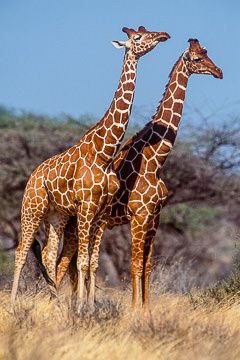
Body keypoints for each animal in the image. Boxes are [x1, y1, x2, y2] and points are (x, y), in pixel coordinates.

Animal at [10, 26, 170, 310]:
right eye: (138, 37)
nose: (163, 35)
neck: (104, 152)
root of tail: (32, 176)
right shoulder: (86, 206)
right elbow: (83, 262)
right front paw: (82, 309)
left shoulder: (100, 212)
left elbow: (90, 262)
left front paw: (89, 307)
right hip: (32, 209)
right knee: (21, 251)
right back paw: (12, 305)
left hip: (57, 215)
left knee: (49, 255)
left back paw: (56, 306)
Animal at [54, 38, 223, 310]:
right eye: (197, 58)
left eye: (208, 53)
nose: (219, 72)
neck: (156, 162)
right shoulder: (138, 217)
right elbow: (134, 266)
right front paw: (134, 310)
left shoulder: (155, 218)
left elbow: (147, 266)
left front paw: (146, 310)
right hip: (77, 222)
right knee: (63, 264)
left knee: (70, 266)